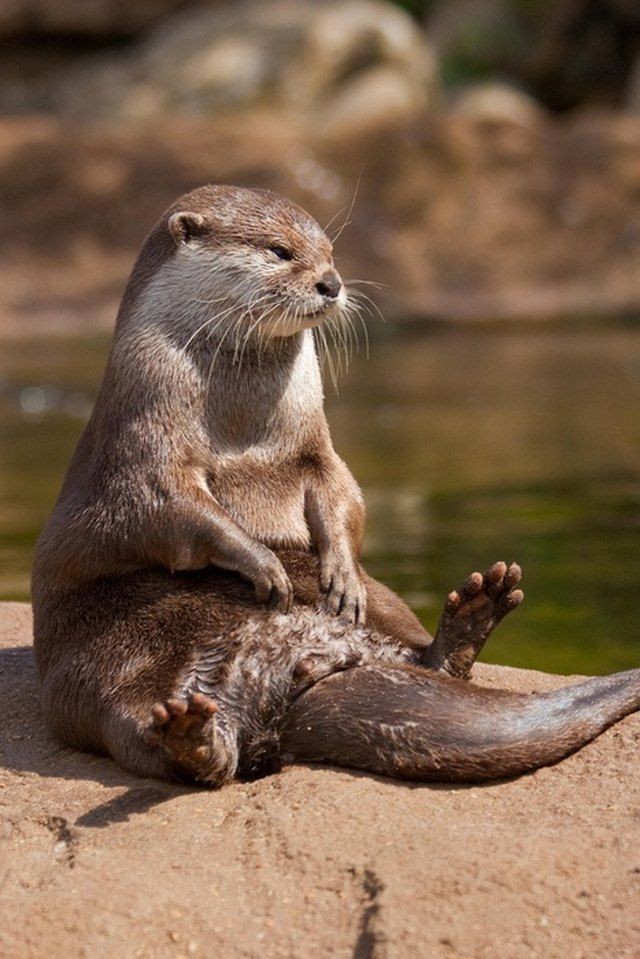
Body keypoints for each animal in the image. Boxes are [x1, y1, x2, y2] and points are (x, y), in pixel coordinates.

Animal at [32, 185, 640, 786]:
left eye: (330, 253)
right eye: (279, 251)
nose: (332, 282)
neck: (241, 427)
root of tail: (294, 674)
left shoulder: (315, 449)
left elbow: (342, 495)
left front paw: (340, 573)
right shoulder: (144, 444)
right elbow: (173, 510)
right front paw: (261, 563)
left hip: (385, 600)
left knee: (423, 656)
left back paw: (470, 616)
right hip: (110, 669)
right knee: (155, 735)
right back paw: (192, 736)